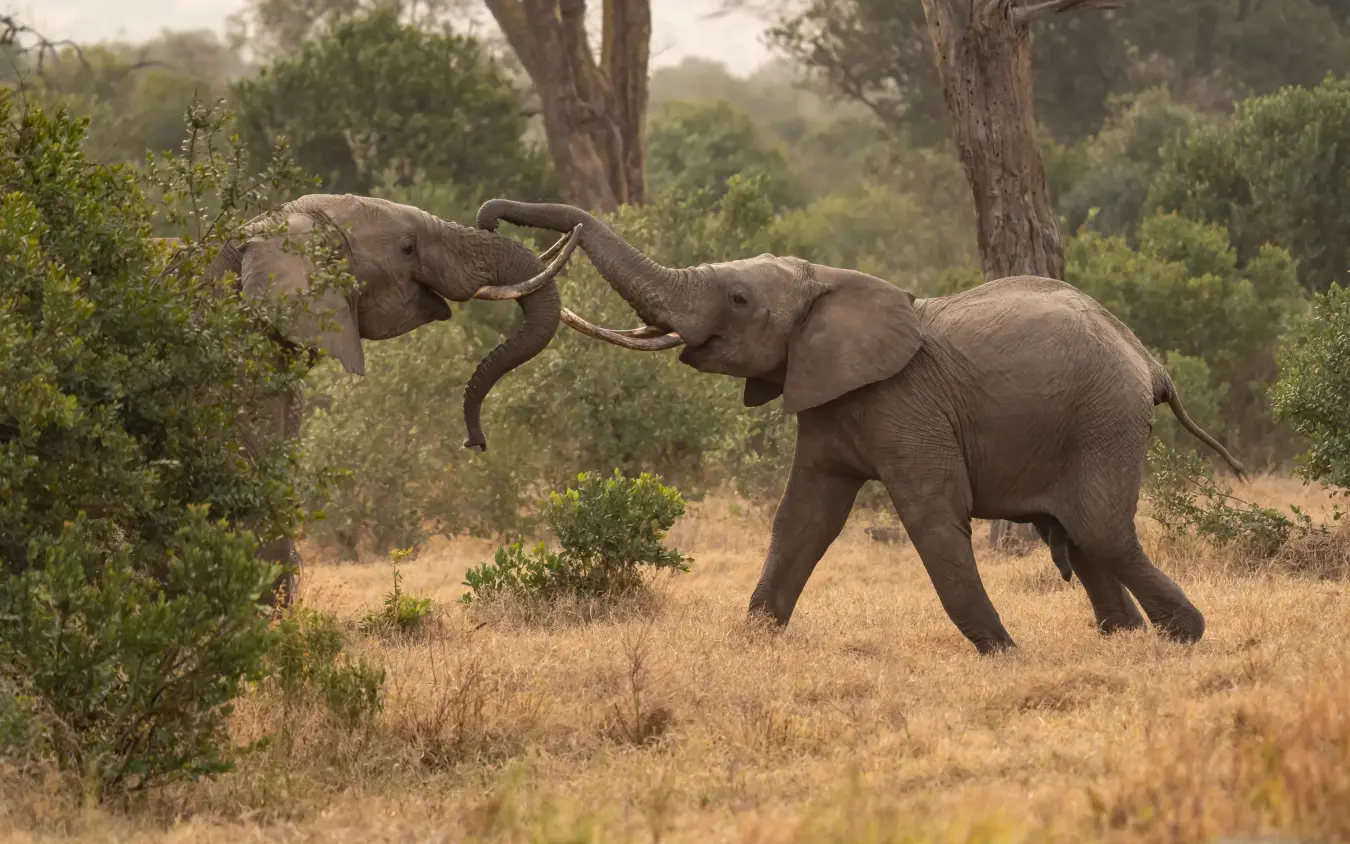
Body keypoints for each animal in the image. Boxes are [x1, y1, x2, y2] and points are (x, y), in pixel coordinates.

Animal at [474, 199, 1246, 655]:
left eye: (739, 298)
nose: (489, 217)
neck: (827, 279)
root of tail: (1149, 361)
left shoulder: (904, 403)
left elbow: (932, 517)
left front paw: (1003, 652)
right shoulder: (827, 397)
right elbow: (804, 518)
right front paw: (756, 640)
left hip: (1103, 418)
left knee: (1099, 529)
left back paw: (1185, 637)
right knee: (1085, 539)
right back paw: (1124, 641)